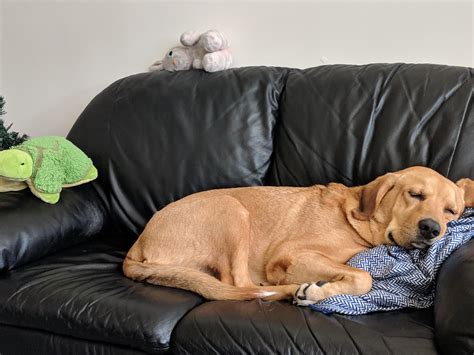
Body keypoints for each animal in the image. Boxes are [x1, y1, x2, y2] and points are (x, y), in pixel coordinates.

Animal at [123, 168, 474, 304]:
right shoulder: (294, 255)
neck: (358, 220)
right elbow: (363, 277)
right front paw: (317, 290)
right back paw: (294, 290)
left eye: (451, 211)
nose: (432, 229)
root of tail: (137, 247)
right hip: (232, 209)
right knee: (237, 284)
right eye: (414, 195)